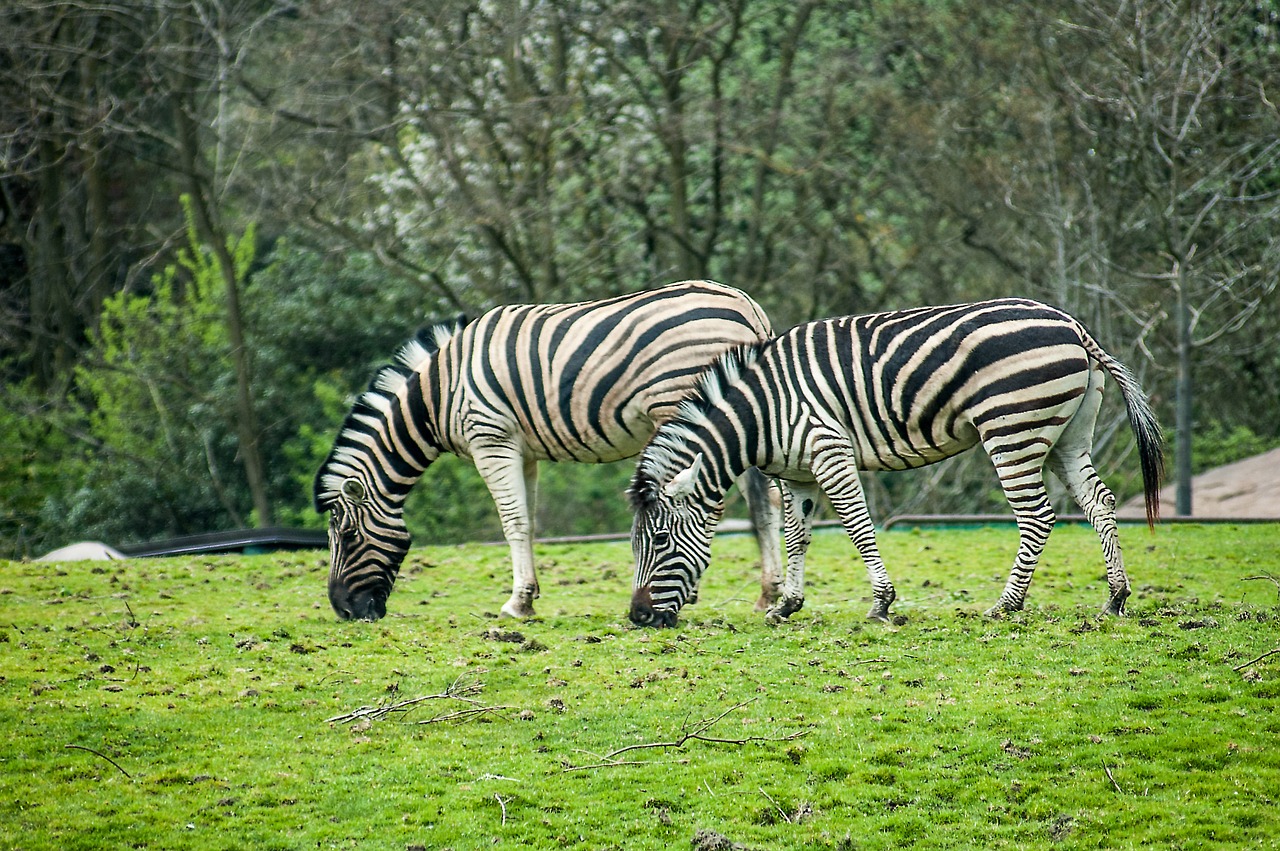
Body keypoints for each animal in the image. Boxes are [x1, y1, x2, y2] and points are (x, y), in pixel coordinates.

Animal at [314, 278, 783, 616]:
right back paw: (768, 594)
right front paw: (531, 594)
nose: (343, 610)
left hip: (686, 407)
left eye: (348, 536)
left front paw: (517, 602)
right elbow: (530, 521)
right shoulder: (524, 452)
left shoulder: (491, 439)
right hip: (740, 416)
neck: (438, 392)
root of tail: (746, 305)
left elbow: (512, 522)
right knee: (766, 501)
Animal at [624, 296, 1167, 624]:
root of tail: (1071, 322)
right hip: (1066, 437)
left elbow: (857, 526)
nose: (637, 618)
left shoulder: (829, 448)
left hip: (1012, 427)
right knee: (1099, 502)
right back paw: (1115, 597)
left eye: (661, 540)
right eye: (635, 544)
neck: (762, 409)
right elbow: (796, 537)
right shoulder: (797, 475)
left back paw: (1005, 605)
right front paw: (788, 606)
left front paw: (881, 603)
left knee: (1036, 515)